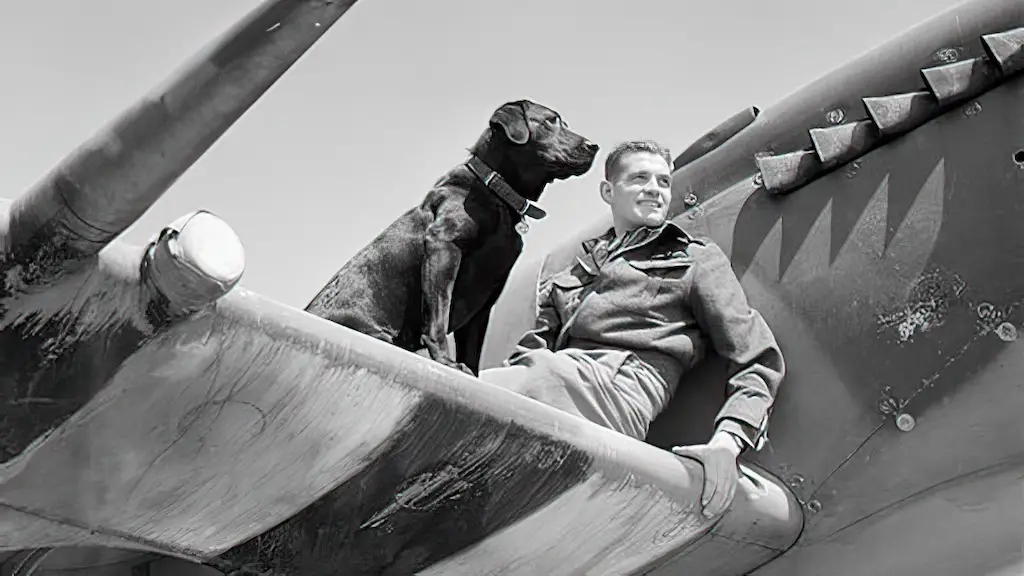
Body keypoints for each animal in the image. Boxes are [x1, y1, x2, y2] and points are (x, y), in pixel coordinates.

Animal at [303, 99, 598, 373]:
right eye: (550, 121)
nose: (593, 146)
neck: (495, 191)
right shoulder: (443, 246)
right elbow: (438, 316)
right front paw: (446, 361)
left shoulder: (489, 293)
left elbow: (472, 347)